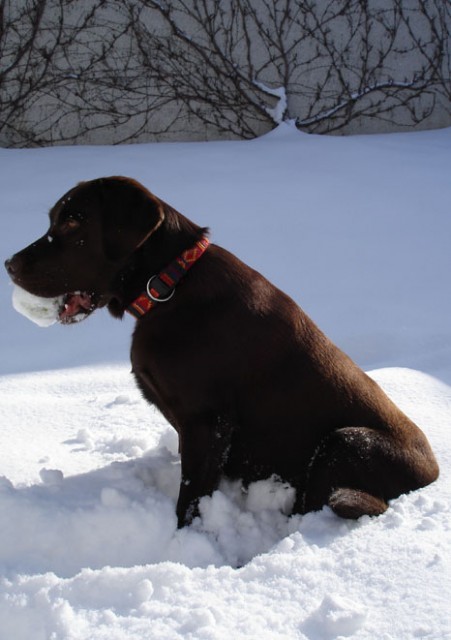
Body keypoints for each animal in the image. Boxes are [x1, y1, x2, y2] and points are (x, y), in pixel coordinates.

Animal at [5, 176, 439, 527]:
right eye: (53, 219)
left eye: (73, 222)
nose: (9, 263)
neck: (169, 285)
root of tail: (433, 475)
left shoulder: (207, 422)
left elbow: (190, 499)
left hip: (345, 442)